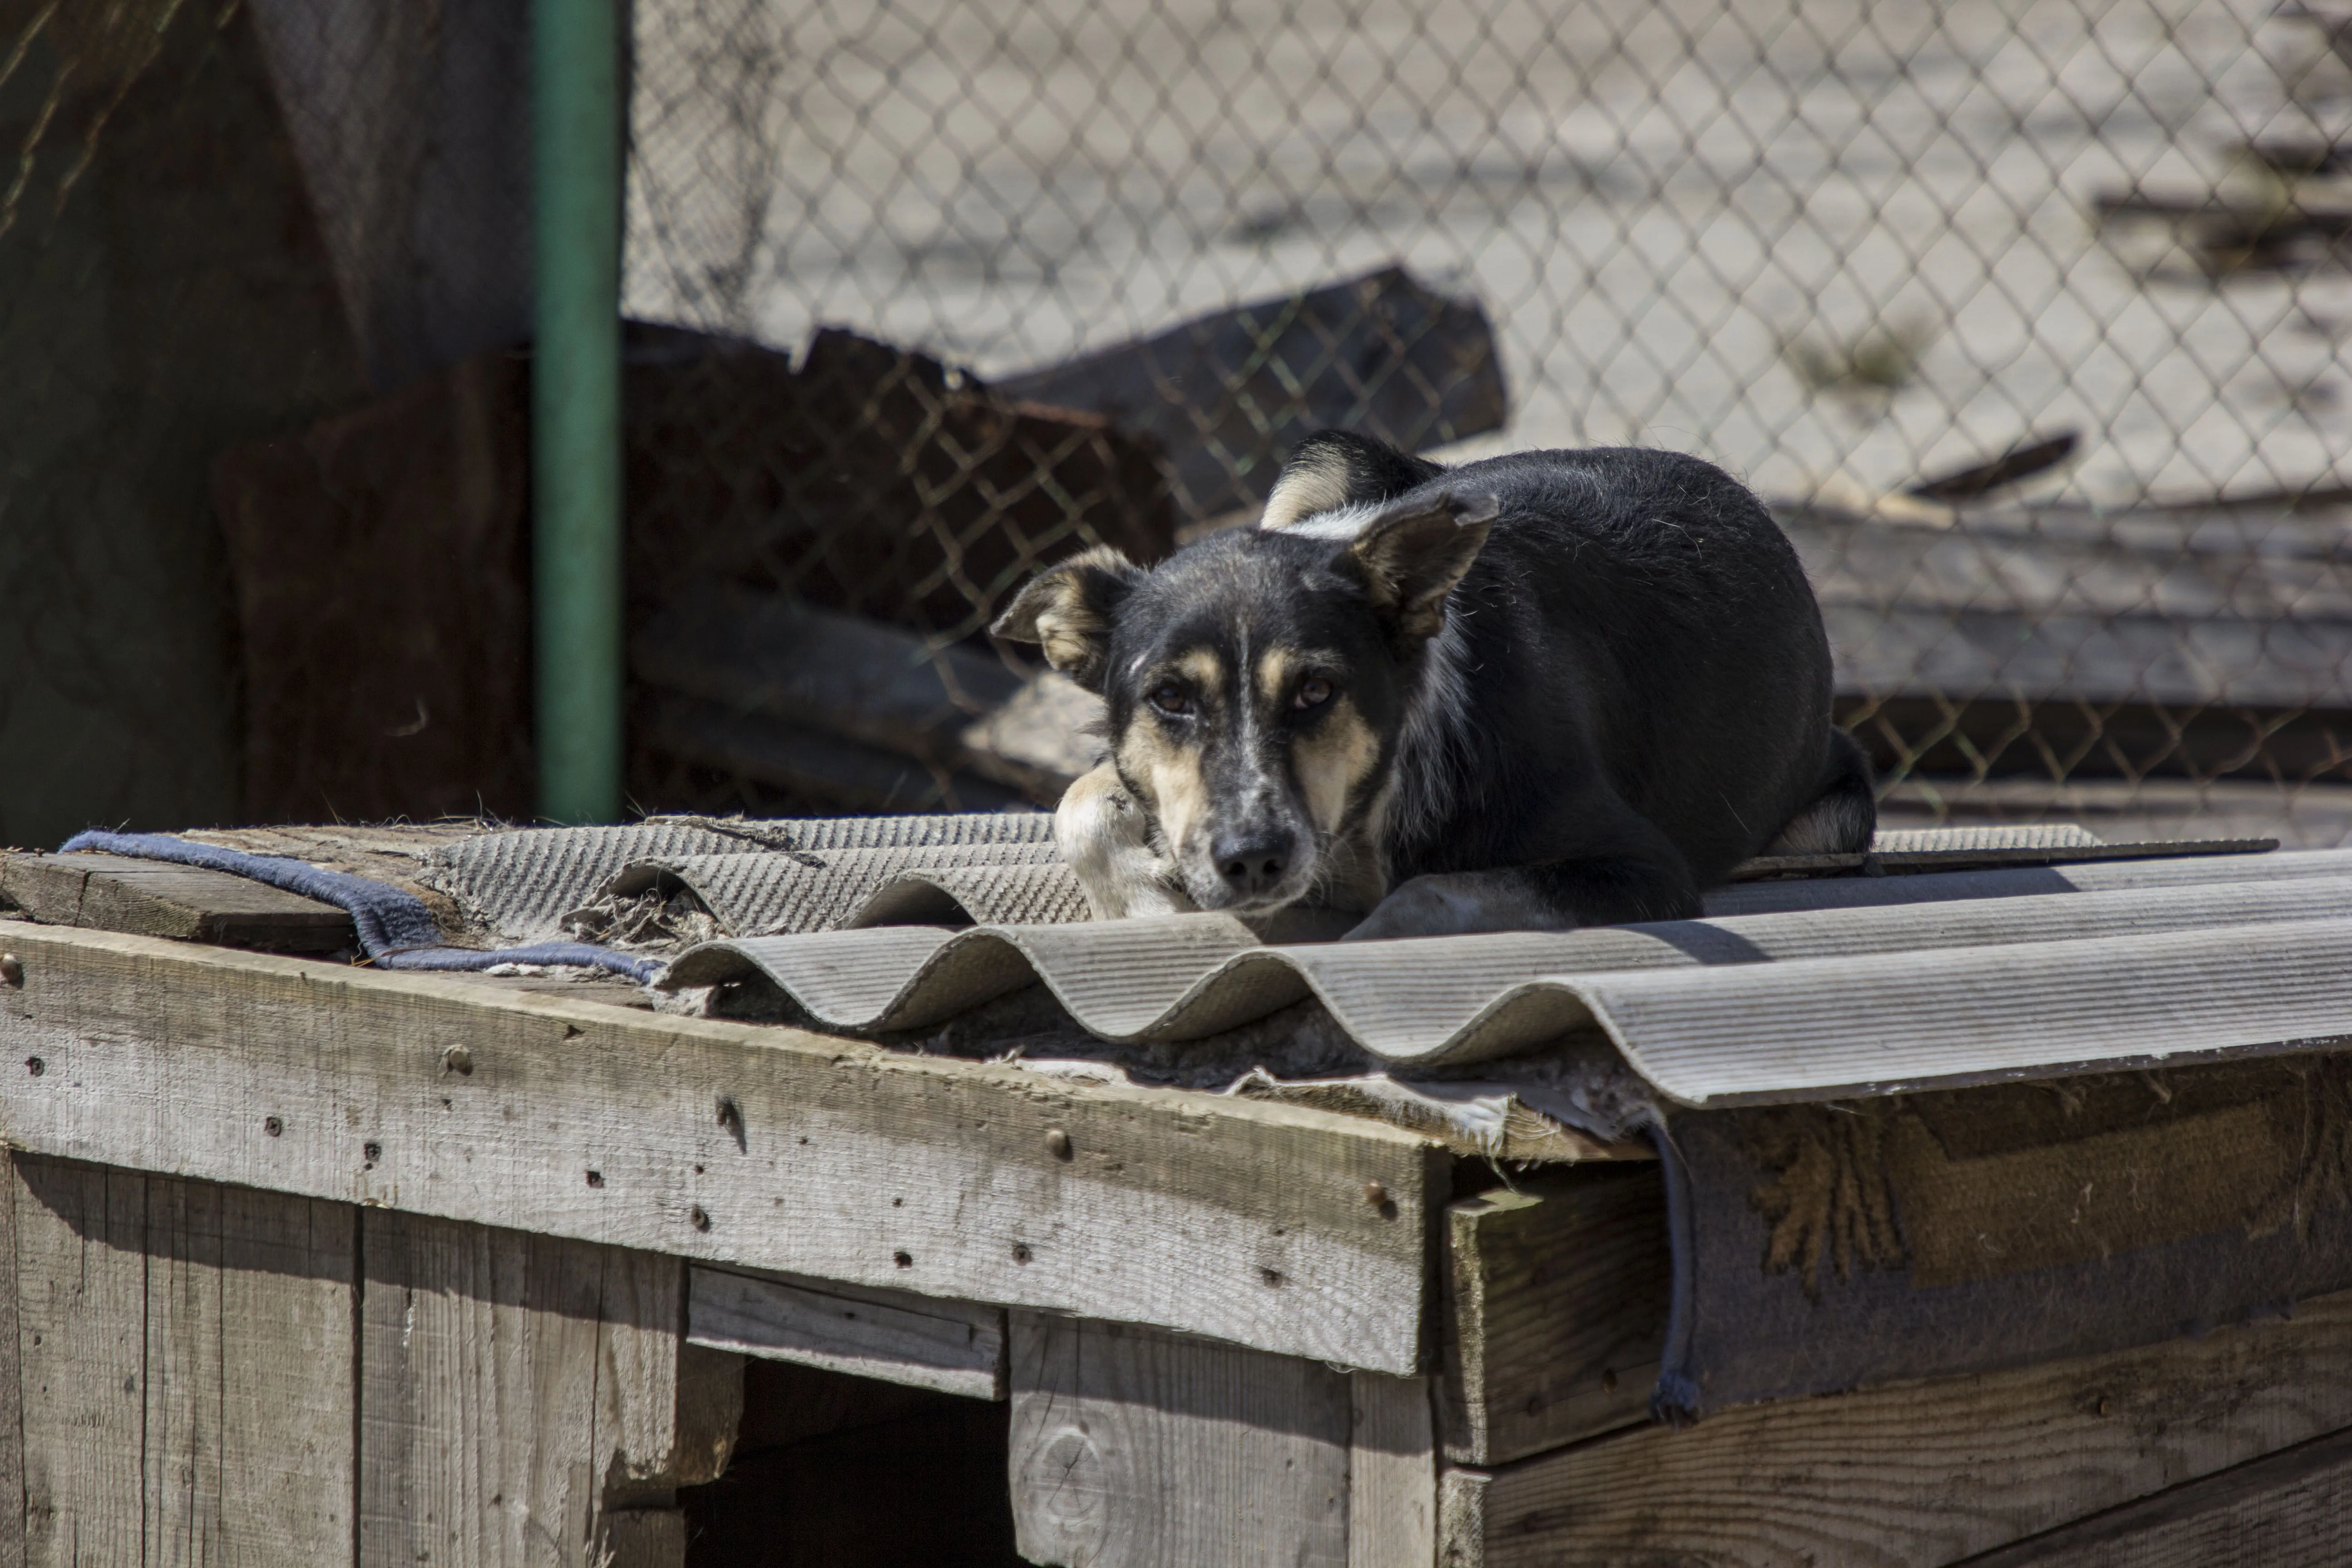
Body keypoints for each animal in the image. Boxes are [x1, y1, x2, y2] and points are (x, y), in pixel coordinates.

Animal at [992, 432, 1872, 931]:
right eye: (1169, 699)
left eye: (1317, 692)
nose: (1250, 862)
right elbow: (1081, 804)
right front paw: (1147, 901)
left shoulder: (1639, 868)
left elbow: (1419, 898)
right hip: (1325, 459)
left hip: (1835, 821)